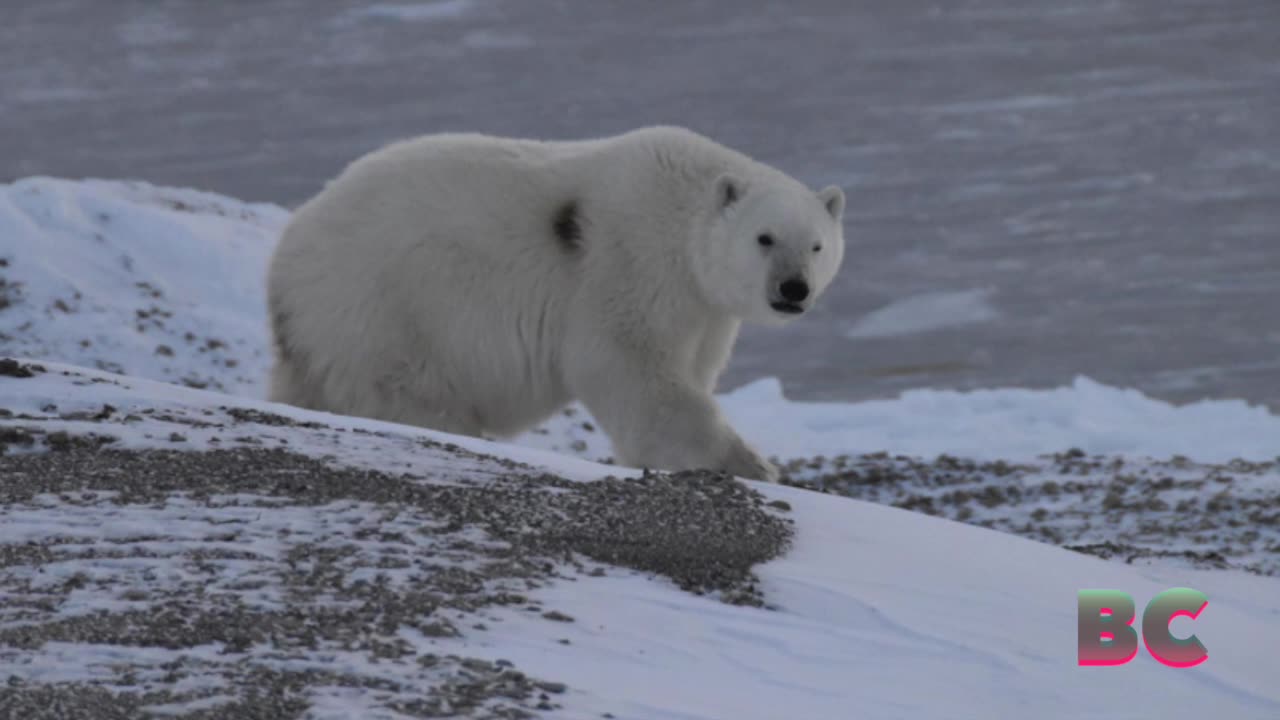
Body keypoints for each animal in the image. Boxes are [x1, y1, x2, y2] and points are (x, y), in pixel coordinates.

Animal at [268, 126, 844, 479]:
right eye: (765, 238)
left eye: (816, 245)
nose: (793, 289)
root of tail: (285, 263)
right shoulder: (633, 266)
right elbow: (631, 369)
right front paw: (750, 464)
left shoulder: (704, 310)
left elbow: (686, 371)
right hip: (387, 308)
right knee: (411, 393)